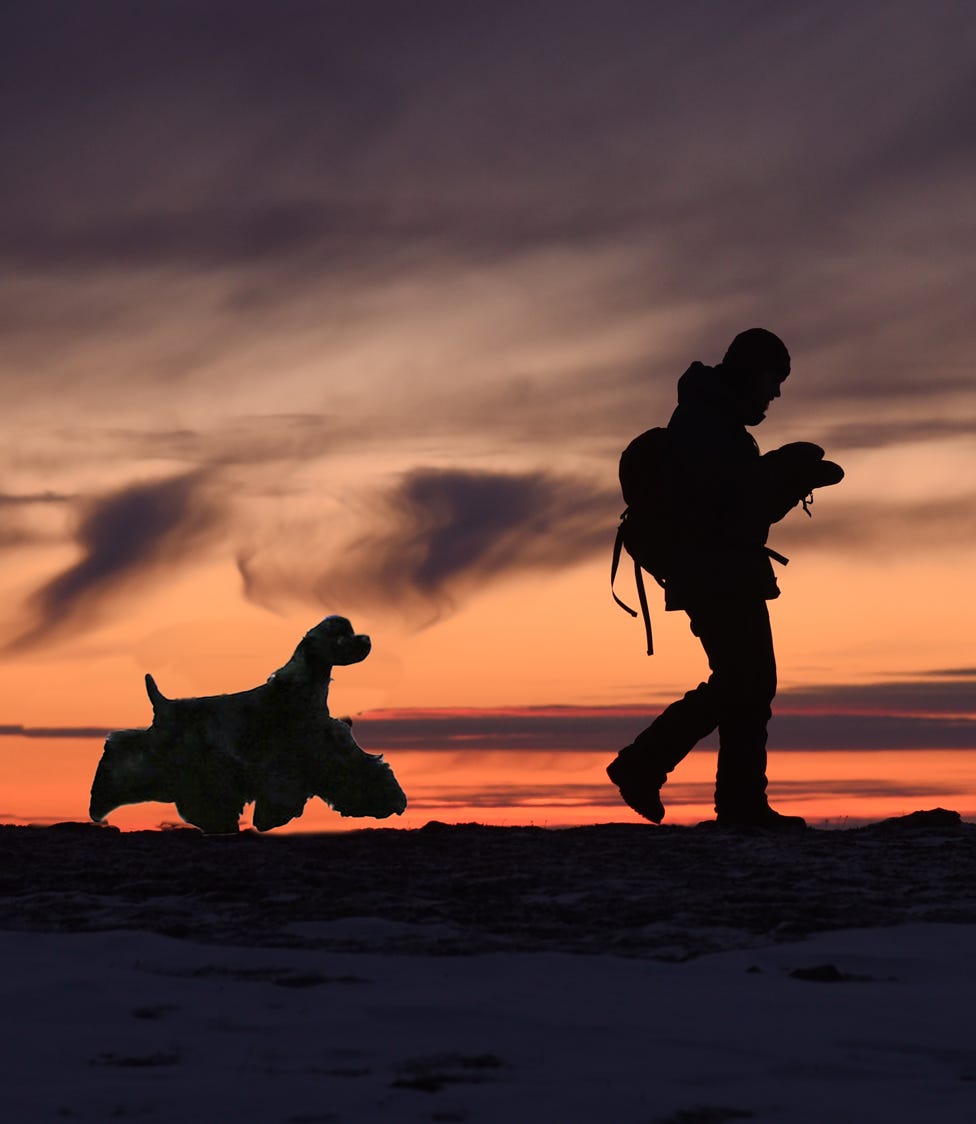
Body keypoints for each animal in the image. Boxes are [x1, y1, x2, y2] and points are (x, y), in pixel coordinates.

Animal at [91, 620, 407, 831]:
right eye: (340, 636)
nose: (366, 640)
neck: (302, 688)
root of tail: (163, 704)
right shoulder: (297, 758)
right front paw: (272, 818)